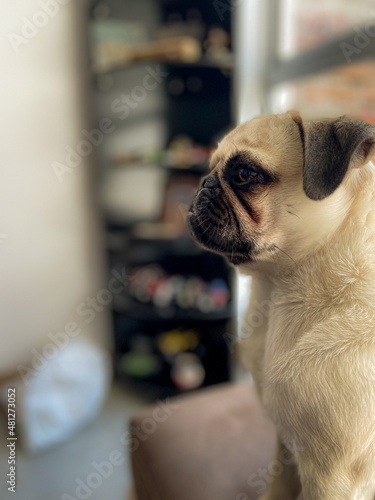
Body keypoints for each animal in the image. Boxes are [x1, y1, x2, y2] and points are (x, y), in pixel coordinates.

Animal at [189, 112, 375, 500]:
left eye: (245, 174)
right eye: (210, 168)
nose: (204, 184)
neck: (278, 292)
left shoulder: (333, 479)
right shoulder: (287, 447)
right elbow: (277, 486)